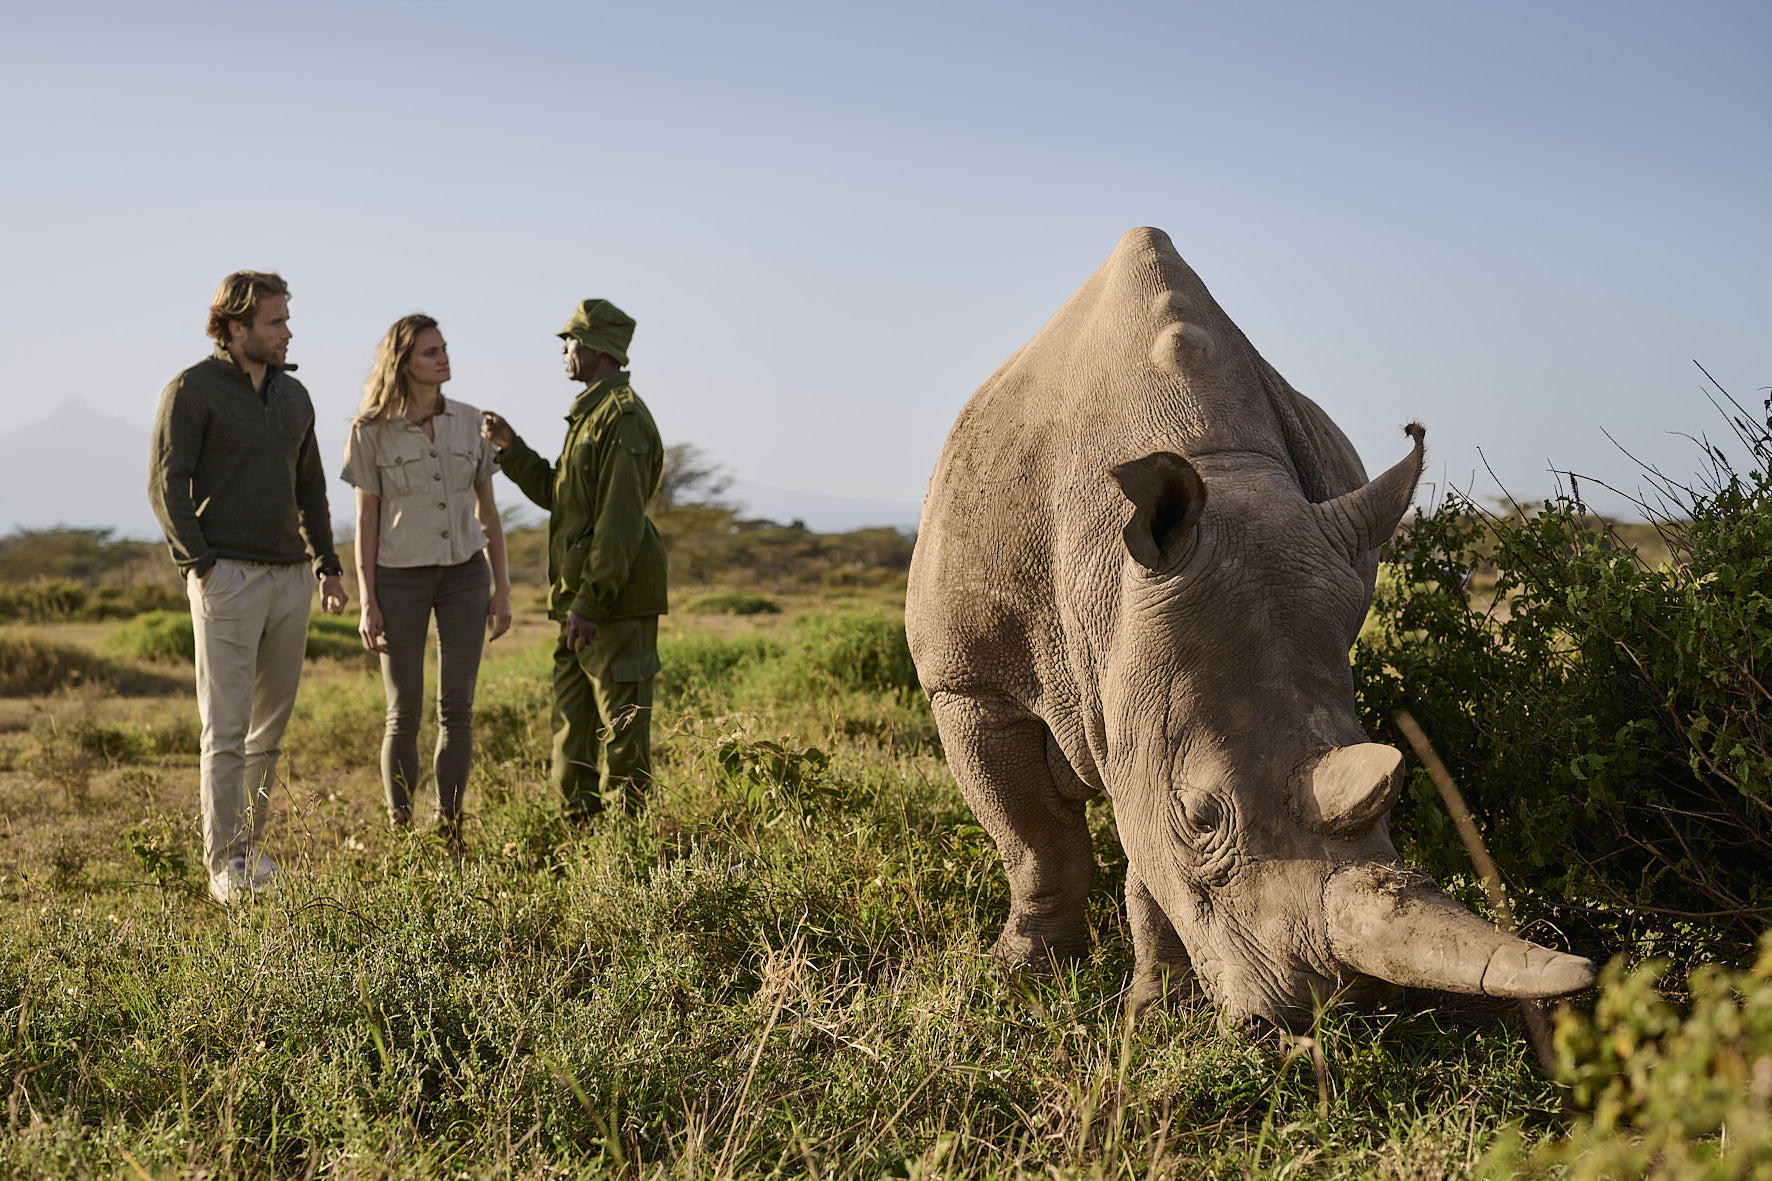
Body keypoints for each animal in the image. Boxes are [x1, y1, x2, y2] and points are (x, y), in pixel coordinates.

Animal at [905, 227, 1594, 1030]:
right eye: (1202, 817)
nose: (1316, 1015)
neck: (1103, 581)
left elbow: (1147, 857)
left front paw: (1155, 1009)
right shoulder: (968, 680)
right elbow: (1038, 840)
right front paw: (1023, 976)